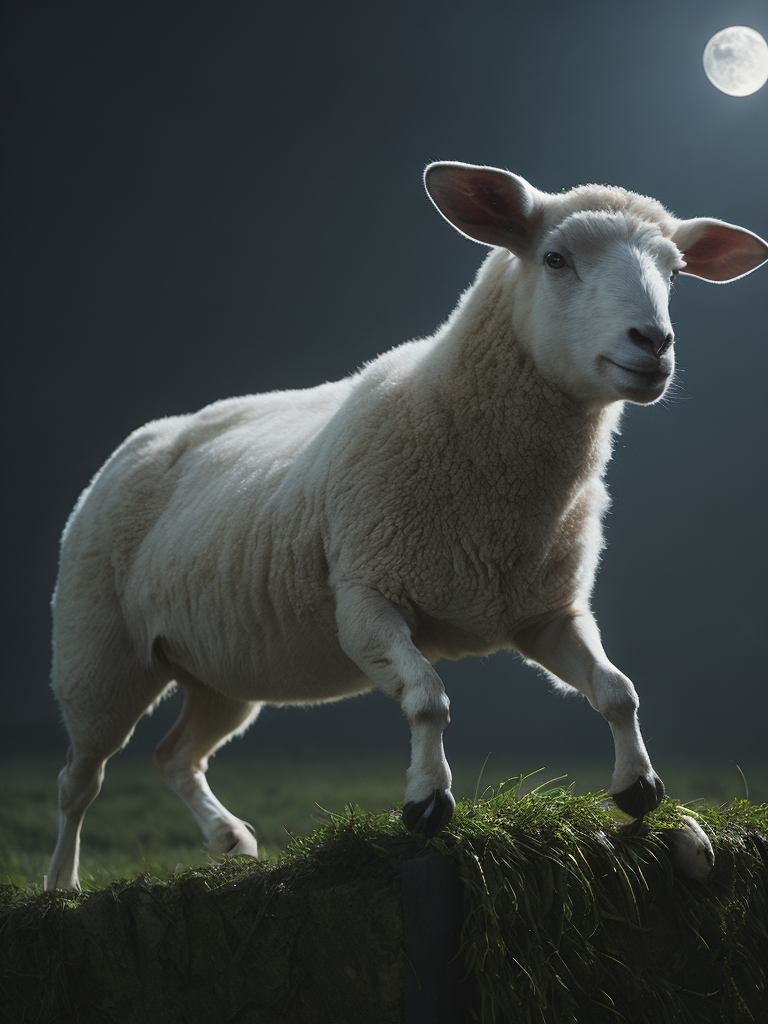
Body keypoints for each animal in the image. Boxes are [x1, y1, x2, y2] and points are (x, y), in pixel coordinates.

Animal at [45, 161, 768, 890]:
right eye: (556, 258)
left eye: (675, 272)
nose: (653, 344)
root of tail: (146, 437)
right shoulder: (367, 596)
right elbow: (427, 697)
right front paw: (427, 800)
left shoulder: (548, 612)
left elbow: (619, 691)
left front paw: (637, 787)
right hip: (97, 651)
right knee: (80, 778)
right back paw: (62, 883)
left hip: (218, 668)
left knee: (175, 754)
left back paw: (229, 839)